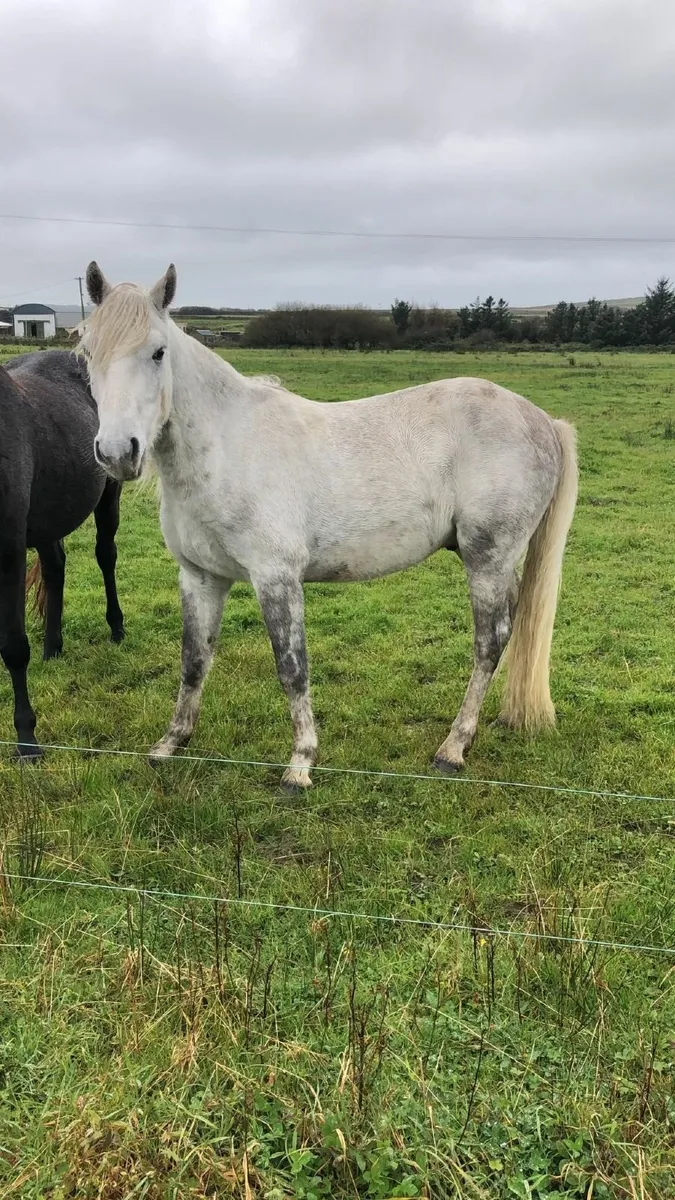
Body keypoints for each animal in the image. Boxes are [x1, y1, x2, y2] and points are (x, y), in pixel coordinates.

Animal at [0, 350, 124, 758]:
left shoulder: (9, 554)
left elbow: (13, 646)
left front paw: (26, 738)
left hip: (108, 495)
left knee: (106, 555)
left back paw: (116, 627)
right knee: (56, 569)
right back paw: (52, 647)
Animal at [80, 262, 577, 791]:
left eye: (158, 352)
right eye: (87, 350)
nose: (118, 452)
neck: (225, 447)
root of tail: (544, 421)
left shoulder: (276, 577)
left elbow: (291, 667)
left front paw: (300, 764)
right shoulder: (200, 577)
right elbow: (194, 661)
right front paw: (171, 744)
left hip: (487, 558)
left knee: (489, 642)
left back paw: (453, 747)